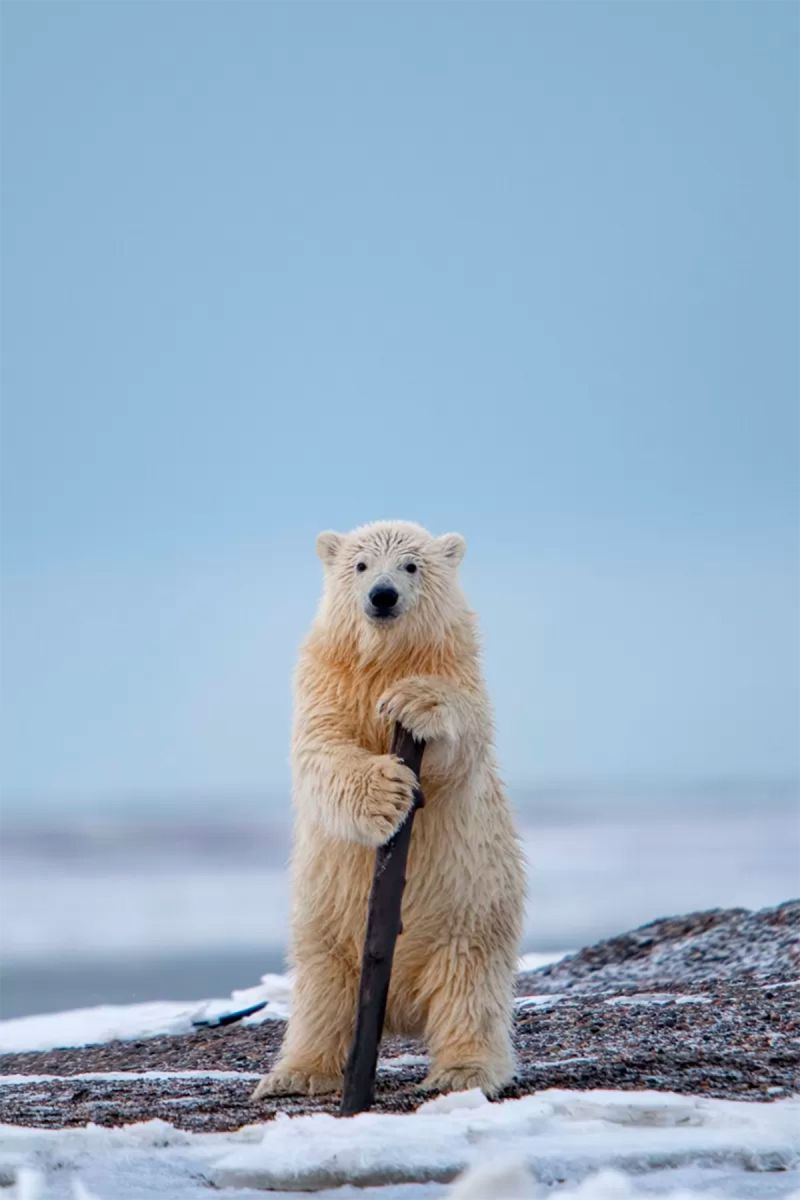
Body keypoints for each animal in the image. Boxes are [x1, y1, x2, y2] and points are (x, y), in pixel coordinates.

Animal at [252, 520, 525, 1100]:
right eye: (360, 565)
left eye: (411, 565)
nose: (382, 595)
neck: (384, 660)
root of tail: (400, 1010)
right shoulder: (326, 682)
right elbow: (322, 751)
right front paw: (386, 793)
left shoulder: (459, 672)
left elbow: (459, 742)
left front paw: (413, 702)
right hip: (325, 924)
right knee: (321, 995)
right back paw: (296, 1074)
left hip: (474, 911)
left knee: (469, 990)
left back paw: (463, 1070)